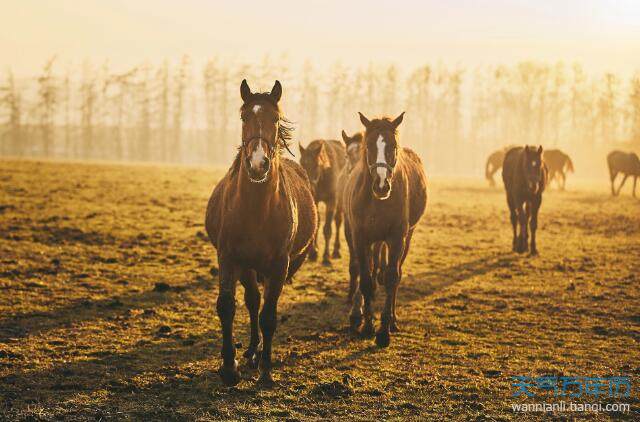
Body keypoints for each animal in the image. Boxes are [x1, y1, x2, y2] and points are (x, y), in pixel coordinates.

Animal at [204, 79, 316, 386]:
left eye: (275, 119)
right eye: (244, 117)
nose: (257, 163)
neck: (256, 208)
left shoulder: (279, 265)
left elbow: (269, 315)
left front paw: (266, 370)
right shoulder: (229, 258)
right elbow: (227, 306)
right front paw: (229, 367)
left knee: (261, 304)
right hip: (247, 266)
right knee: (252, 301)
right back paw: (252, 350)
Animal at [342, 111, 428, 346]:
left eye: (393, 146)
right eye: (369, 146)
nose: (381, 185)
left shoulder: (397, 238)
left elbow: (391, 278)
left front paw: (383, 331)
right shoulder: (360, 237)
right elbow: (365, 279)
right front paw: (366, 325)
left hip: (407, 236)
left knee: (396, 273)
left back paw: (393, 320)